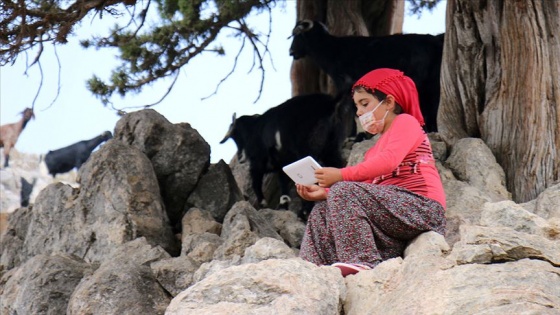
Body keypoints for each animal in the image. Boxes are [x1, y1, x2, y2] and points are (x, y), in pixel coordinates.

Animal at [221, 92, 352, 214]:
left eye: (236, 136)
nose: (240, 157)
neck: (254, 129)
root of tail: (330, 103)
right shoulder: (283, 162)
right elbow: (283, 182)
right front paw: (283, 204)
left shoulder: (259, 160)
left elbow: (256, 179)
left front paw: (263, 203)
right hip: (331, 146)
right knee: (336, 166)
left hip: (307, 148)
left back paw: (304, 211)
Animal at [290, 19, 444, 133]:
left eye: (298, 35)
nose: (291, 51)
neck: (333, 50)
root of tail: (433, 41)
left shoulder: (349, 85)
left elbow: (357, 112)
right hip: (432, 82)